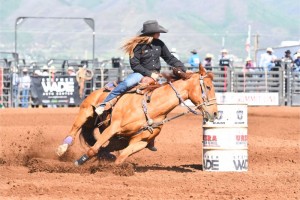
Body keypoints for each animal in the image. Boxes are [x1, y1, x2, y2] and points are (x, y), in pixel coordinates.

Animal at [56, 64, 217, 166]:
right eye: (208, 87)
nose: (215, 113)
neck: (150, 107)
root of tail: (98, 90)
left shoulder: (141, 141)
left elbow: (121, 157)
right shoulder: (113, 128)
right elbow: (92, 149)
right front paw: (77, 163)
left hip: (116, 139)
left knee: (105, 148)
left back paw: (107, 156)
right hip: (85, 113)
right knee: (74, 130)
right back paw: (62, 149)